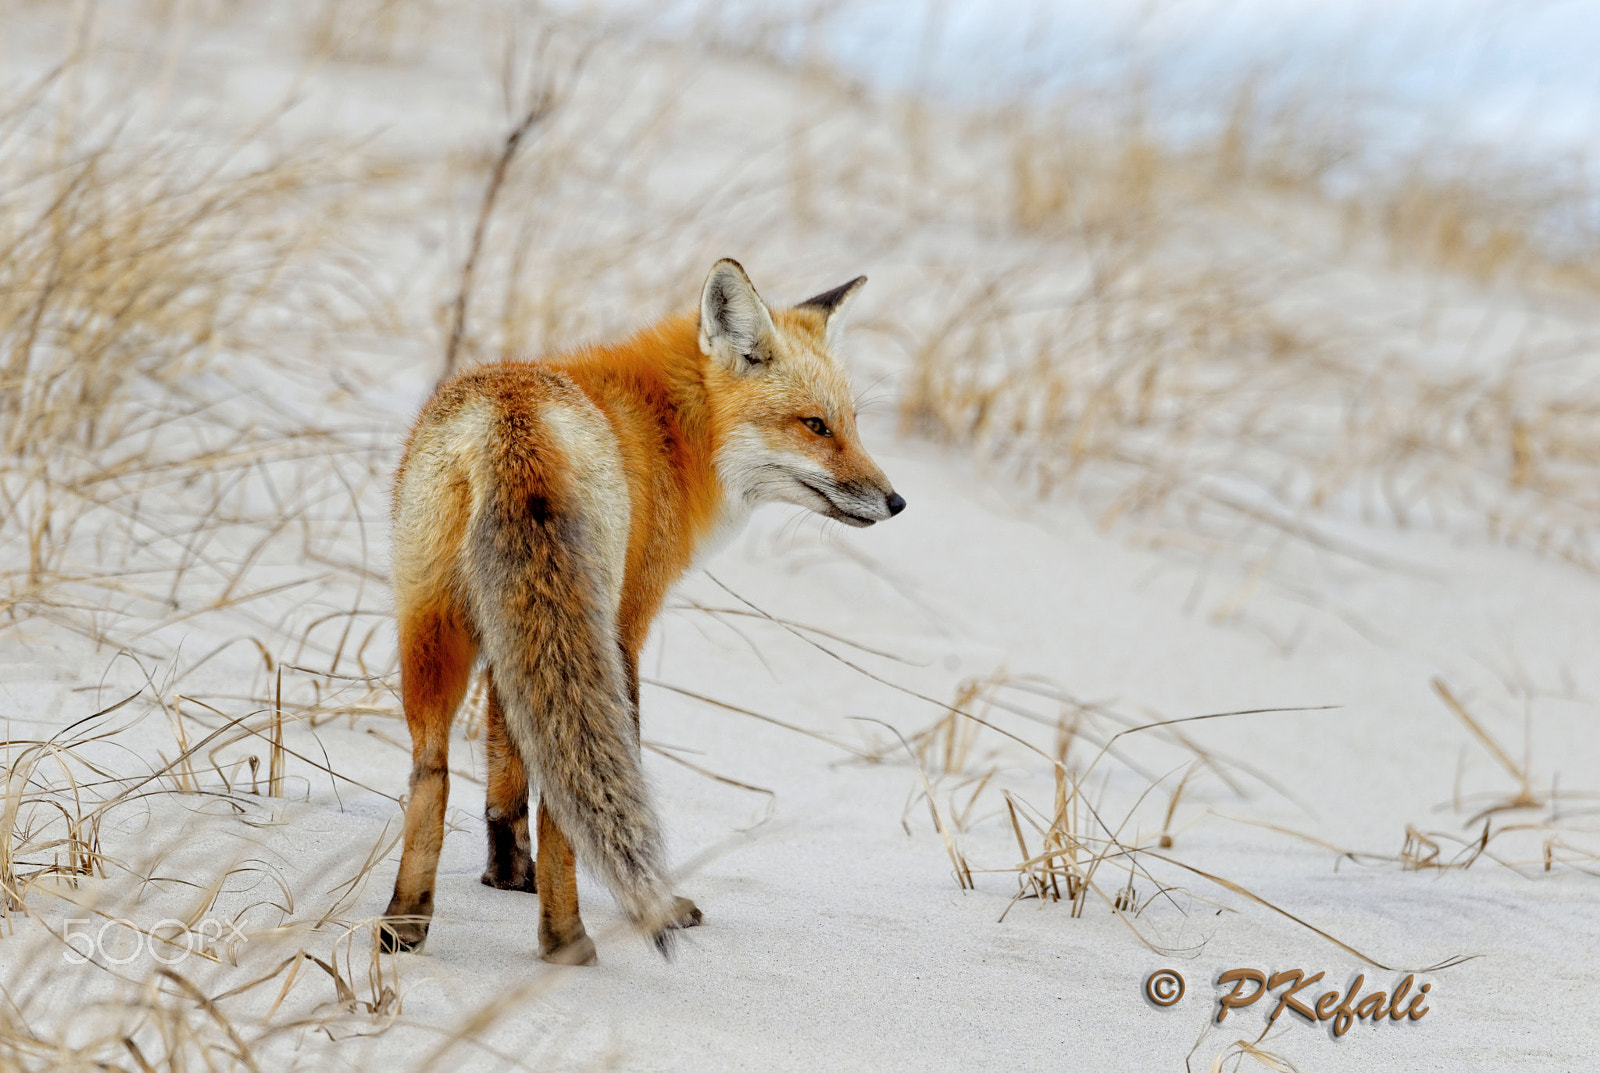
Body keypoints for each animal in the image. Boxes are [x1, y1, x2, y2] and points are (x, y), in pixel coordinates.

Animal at [379, 259, 905, 965]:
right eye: (815, 425)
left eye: (851, 422)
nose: (896, 501)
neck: (669, 433)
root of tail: (514, 418)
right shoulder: (629, 619)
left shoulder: (509, 637)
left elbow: (508, 763)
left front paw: (505, 872)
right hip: (580, 631)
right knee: (567, 799)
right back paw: (569, 941)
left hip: (434, 627)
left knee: (432, 773)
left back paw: (405, 924)